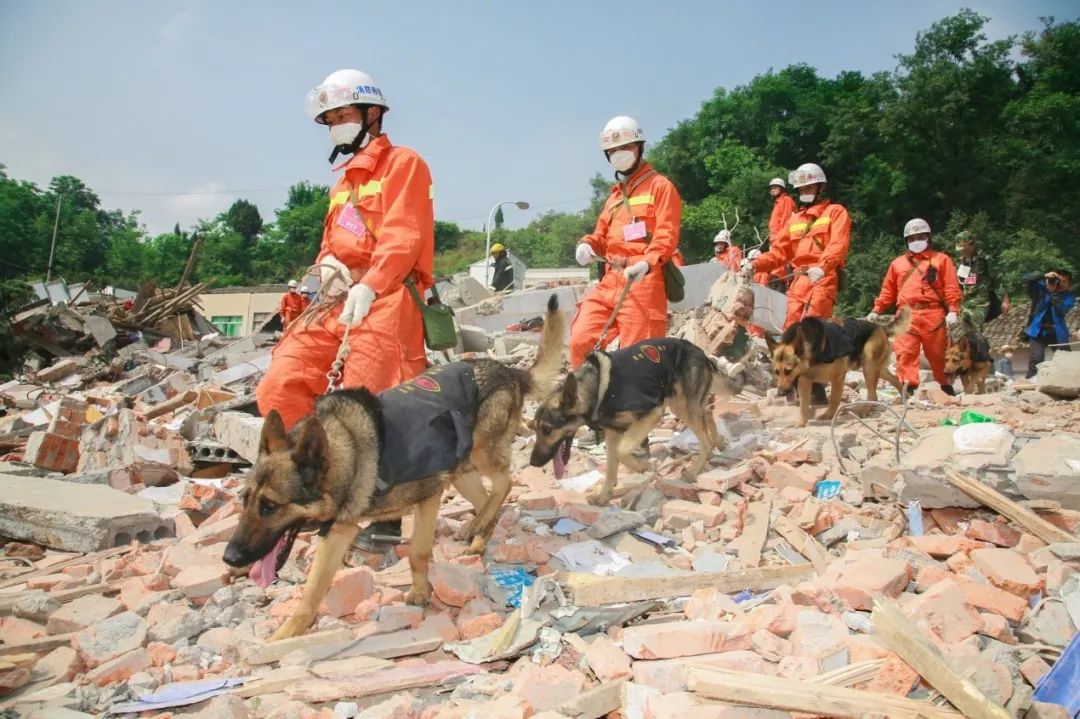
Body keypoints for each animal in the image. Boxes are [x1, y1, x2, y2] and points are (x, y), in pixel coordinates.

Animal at [224, 293, 570, 634]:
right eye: (245, 500)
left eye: (271, 506)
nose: (229, 557)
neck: (350, 452)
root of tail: (509, 371)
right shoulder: (338, 532)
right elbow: (313, 591)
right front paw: (286, 635)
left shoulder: (429, 496)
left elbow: (418, 553)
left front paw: (419, 591)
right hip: (461, 470)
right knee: (486, 499)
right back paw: (478, 532)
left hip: (480, 453)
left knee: (504, 484)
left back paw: (478, 525)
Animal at [524, 336, 721, 503]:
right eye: (534, 428)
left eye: (547, 430)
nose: (533, 462)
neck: (596, 391)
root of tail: (701, 353)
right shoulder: (613, 433)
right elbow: (612, 466)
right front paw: (604, 496)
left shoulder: (652, 412)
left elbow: (622, 451)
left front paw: (642, 466)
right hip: (681, 403)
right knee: (708, 413)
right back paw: (720, 441)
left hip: (682, 406)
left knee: (705, 440)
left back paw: (694, 471)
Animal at [768, 306, 911, 425]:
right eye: (776, 372)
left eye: (788, 370)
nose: (780, 393)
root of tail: (880, 327)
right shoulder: (805, 380)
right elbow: (803, 407)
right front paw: (801, 424)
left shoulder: (838, 377)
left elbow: (834, 400)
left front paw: (828, 415)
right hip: (875, 369)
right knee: (894, 379)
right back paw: (903, 398)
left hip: (869, 367)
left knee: (873, 395)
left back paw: (864, 411)